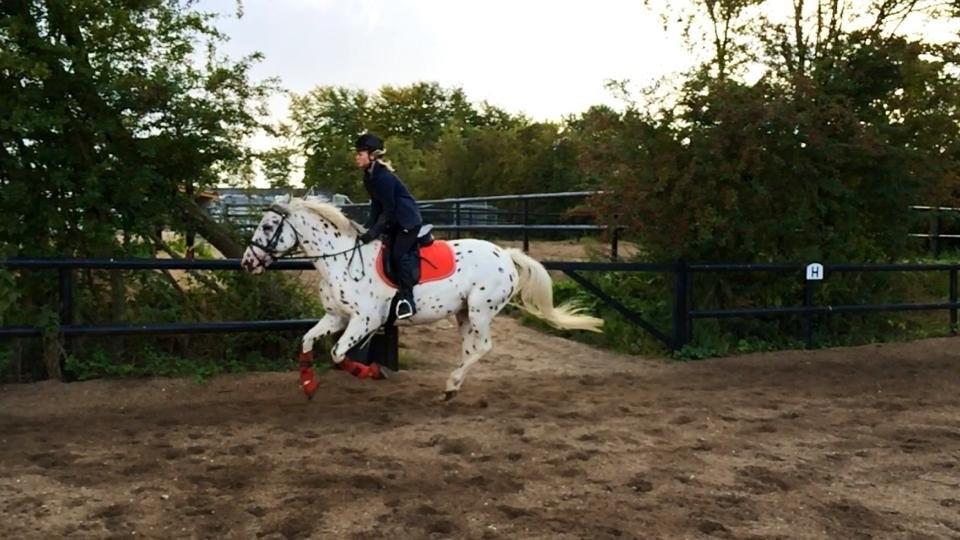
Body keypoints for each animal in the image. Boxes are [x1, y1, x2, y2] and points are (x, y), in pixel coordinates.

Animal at [240, 198, 603, 400]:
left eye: (269, 226)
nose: (247, 262)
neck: (340, 259)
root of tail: (506, 254)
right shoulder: (336, 317)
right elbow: (306, 341)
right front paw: (308, 386)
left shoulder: (364, 321)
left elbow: (339, 354)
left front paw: (376, 373)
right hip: (463, 313)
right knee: (469, 348)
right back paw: (452, 386)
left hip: (480, 310)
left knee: (483, 347)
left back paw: (452, 383)